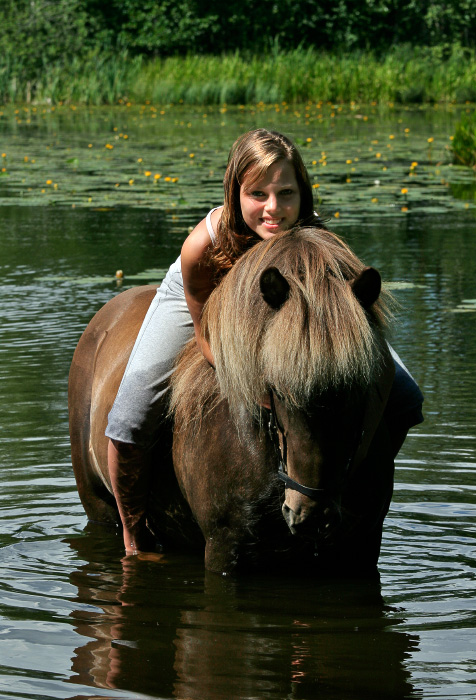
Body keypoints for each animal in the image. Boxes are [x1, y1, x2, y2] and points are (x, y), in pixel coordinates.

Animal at [69, 226, 397, 575]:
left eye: (361, 383)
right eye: (275, 386)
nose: (311, 514)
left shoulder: (363, 547)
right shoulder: (225, 549)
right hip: (100, 506)